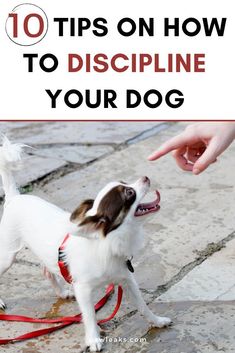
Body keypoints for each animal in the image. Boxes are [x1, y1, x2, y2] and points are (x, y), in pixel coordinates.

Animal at [0, 137, 170, 350]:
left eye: (126, 183)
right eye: (129, 192)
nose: (145, 177)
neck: (109, 244)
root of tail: (15, 197)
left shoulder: (126, 279)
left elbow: (143, 305)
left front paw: (156, 321)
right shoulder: (83, 289)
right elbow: (89, 315)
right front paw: (93, 338)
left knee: (47, 270)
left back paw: (62, 292)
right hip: (7, 255)